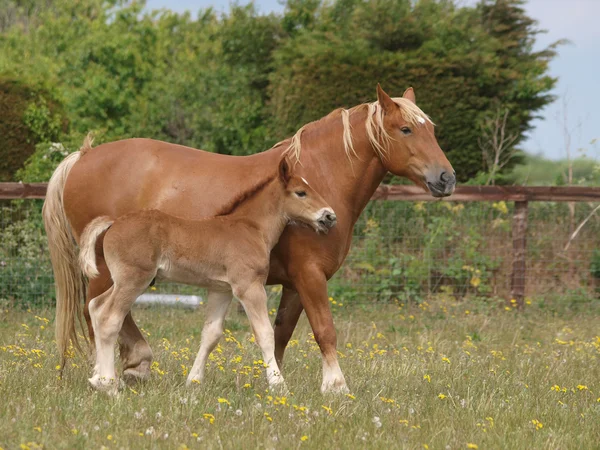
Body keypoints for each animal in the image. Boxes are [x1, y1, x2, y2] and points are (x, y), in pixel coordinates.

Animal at [77, 159, 336, 394]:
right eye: (301, 192)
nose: (329, 216)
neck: (251, 228)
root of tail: (113, 223)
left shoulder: (221, 289)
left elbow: (211, 334)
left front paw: (193, 382)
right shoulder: (248, 286)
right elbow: (264, 333)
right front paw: (279, 385)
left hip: (121, 280)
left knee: (95, 307)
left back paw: (98, 378)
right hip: (133, 279)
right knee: (109, 317)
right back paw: (107, 385)